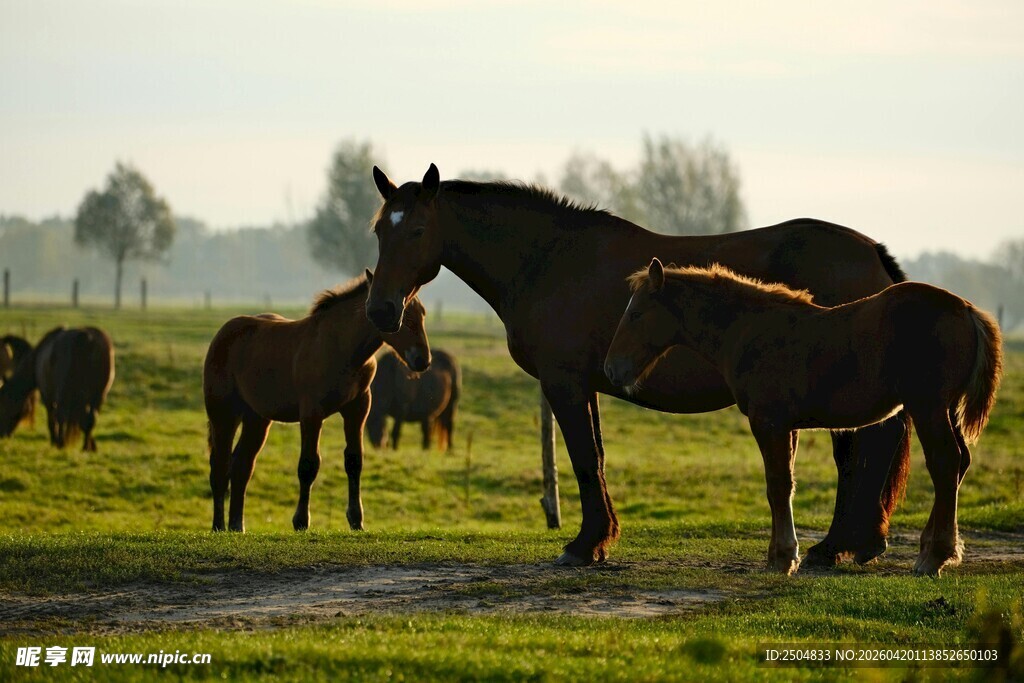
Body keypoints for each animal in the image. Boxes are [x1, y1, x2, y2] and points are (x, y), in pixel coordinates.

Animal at [204, 271, 431, 533]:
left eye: (422, 313)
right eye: (400, 314)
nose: (422, 359)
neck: (340, 349)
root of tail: (223, 332)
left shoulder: (357, 409)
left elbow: (354, 460)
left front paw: (356, 520)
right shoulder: (311, 413)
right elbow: (308, 465)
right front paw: (301, 521)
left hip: (257, 418)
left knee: (241, 466)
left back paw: (237, 526)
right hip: (223, 413)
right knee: (220, 466)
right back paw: (219, 526)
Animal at [364, 164, 913, 568]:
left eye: (417, 229)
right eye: (379, 230)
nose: (381, 310)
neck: (548, 260)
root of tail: (873, 254)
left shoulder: (564, 383)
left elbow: (585, 460)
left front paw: (584, 545)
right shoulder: (586, 385)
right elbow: (597, 459)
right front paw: (601, 538)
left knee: (861, 455)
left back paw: (836, 547)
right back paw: (858, 544)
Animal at [605, 259, 1002, 576]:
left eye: (636, 314)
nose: (611, 369)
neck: (750, 332)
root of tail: (968, 309)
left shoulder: (768, 423)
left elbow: (777, 485)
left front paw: (781, 559)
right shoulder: (787, 427)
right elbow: (787, 485)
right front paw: (784, 556)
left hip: (927, 407)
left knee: (944, 463)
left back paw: (933, 557)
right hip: (944, 409)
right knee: (959, 463)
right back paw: (933, 550)